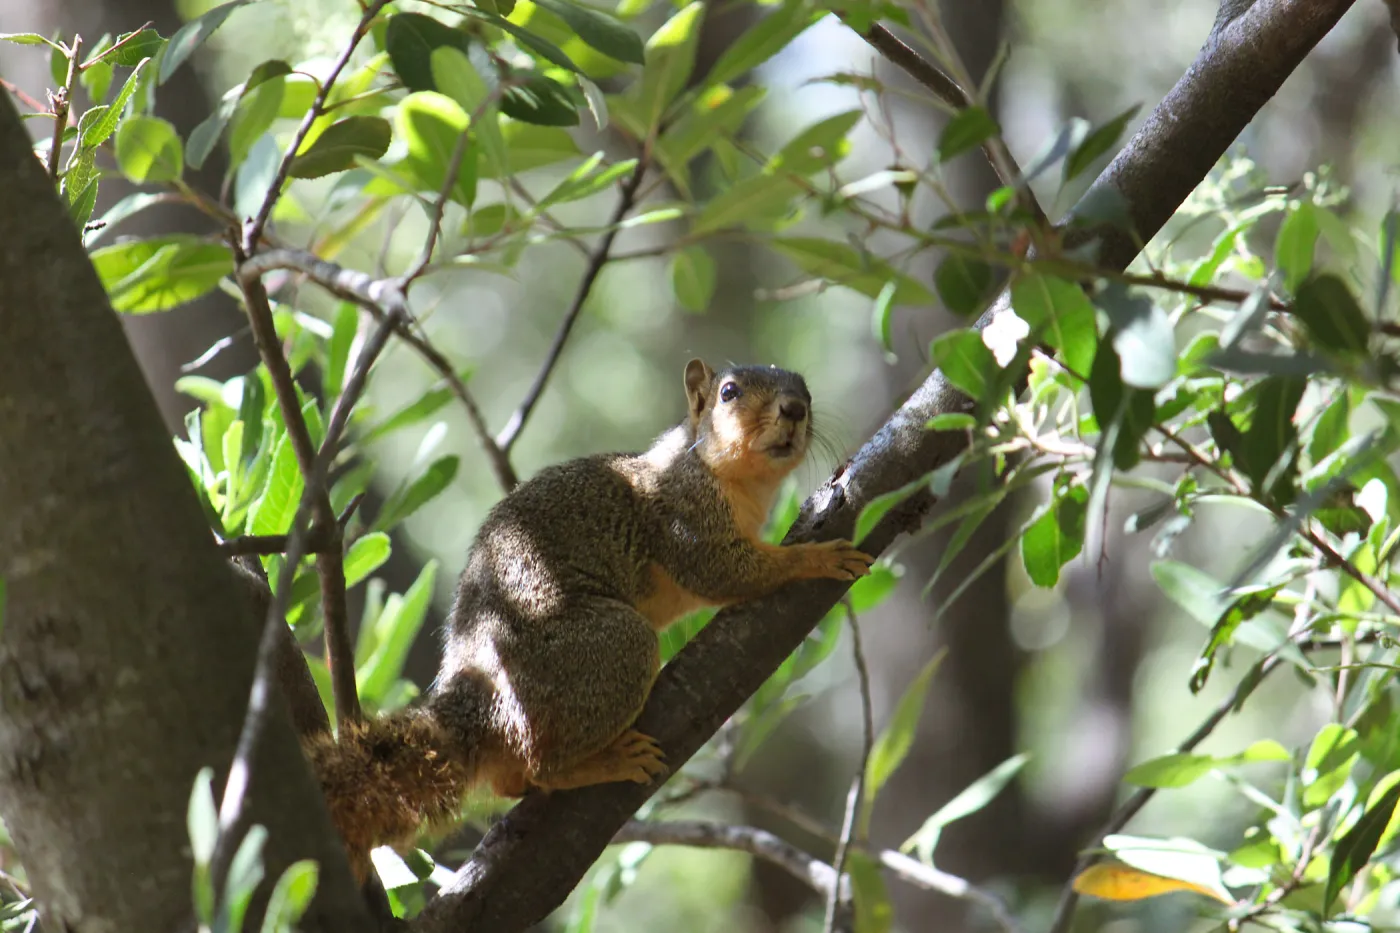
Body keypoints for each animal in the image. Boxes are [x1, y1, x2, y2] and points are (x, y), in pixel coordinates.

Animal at [304, 359, 875, 879]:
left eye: (805, 388)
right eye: (729, 392)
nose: (795, 409)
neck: (735, 479)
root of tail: (475, 700)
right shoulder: (685, 518)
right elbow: (724, 571)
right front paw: (816, 558)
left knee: (513, 779)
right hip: (610, 647)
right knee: (545, 764)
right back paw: (606, 763)